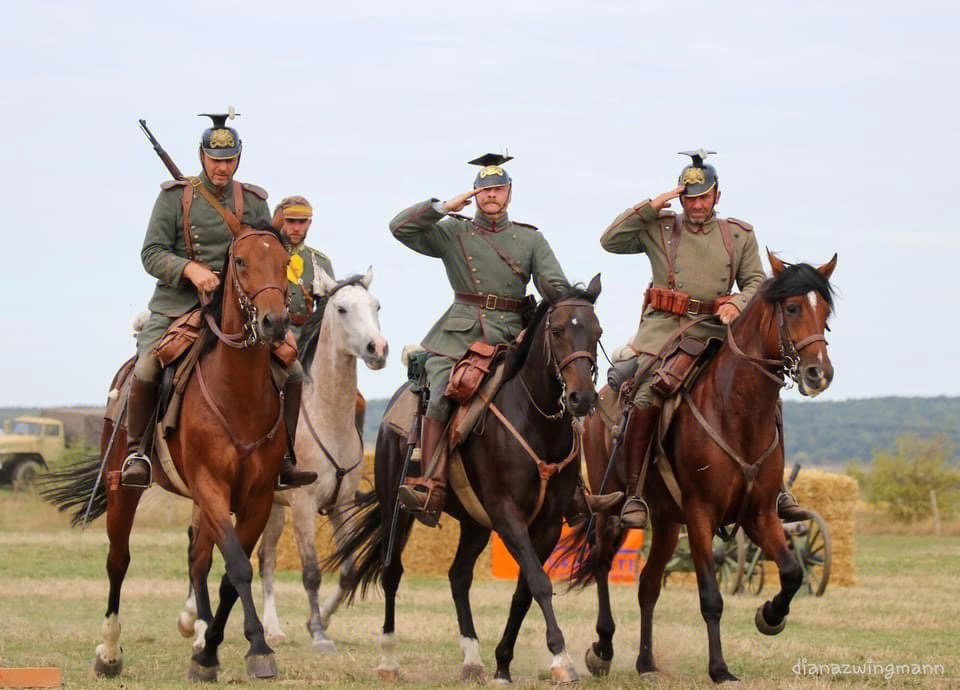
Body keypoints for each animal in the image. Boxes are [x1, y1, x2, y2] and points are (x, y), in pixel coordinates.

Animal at [41, 224, 294, 676]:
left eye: (284, 262)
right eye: (241, 261)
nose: (275, 322)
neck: (239, 394)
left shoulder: (258, 498)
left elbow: (230, 575)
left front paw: (214, 650)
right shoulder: (211, 487)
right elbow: (238, 567)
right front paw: (256, 647)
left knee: (198, 558)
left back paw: (198, 632)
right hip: (123, 489)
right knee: (118, 561)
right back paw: (109, 652)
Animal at [178, 264, 388, 652]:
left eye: (376, 306)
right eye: (342, 309)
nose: (377, 348)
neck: (327, 416)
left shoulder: (342, 504)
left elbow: (348, 570)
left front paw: (319, 621)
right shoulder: (304, 504)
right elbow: (311, 571)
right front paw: (318, 632)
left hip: (270, 507)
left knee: (266, 559)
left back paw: (272, 628)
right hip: (213, 498)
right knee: (198, 545)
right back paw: (193, 624)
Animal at [326, 276, 604, 684]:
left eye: (596, 332)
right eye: (557, 331)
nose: (582, 397)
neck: (535, 421)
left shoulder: (548, 524)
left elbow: (525, 589)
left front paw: (503, 662)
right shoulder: (508, 516)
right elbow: (539, 582)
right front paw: (561, 656)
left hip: (475, 523)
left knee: (458, 575)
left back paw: (472, 658)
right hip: (399, 507)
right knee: (392, 572)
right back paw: (389, 659)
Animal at [568, 250, 832, 680]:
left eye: (825, 311)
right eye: (792, 307)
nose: (819, 373)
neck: (737, 409)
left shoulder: (759, 514)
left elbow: (792, 572)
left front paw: (769, 616)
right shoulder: (700, 515)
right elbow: (711, 595)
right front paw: (720, 669)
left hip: (665, 522)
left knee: (648, 584)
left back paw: (646, 662)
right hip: (612, 508)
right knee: (604, 563)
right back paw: (603, 649)